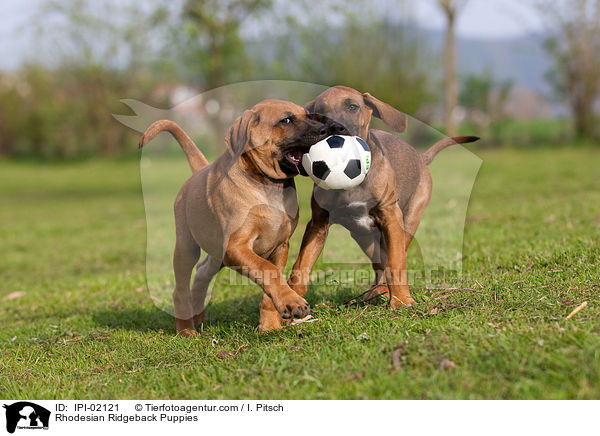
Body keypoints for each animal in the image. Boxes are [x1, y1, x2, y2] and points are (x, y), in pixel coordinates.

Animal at [140, 100, 344, 336]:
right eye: (286, 120)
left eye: (308, 115)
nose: (326, 130)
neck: (267, 185)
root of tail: (199, 172)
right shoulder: (236, 246)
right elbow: (267, 269)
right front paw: (292, 302)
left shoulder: (279, 246)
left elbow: (273, 278)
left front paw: (270, 324)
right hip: (186, 247)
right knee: (180, 288)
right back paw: (186, 330)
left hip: (217, 253)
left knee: (201, 273)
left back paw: (199, 318)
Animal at [288, 85, 478, 310]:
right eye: (319, 112)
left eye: (353, 107)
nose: (335, 129)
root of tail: (420, 158)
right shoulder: (318, 224)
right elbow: (301, 264)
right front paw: (290, 300)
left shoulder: (391, 217)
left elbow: (396, 261)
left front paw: (401, 300)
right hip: (363, 235)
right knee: (379, 263)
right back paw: (375, 292)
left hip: (409, 220)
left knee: (392, 257)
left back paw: (384, 292)